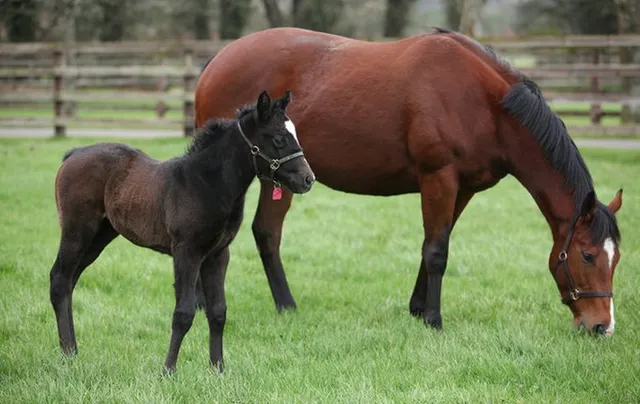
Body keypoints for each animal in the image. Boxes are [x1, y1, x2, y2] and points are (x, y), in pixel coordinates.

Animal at [49, 90, 315, 373]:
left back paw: (72, 349)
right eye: (278, 138)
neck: (205, 183)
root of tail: (73, 154)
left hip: (101, 235)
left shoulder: (218, 254)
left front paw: (217, 368)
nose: (308, 179)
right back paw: (67, 353)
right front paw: (168, 370)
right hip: (77, 230)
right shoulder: (186, 252)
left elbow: (218, 311)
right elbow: (183, 313)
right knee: (60, 278)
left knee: (70, 280)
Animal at [194, 27, 624, 336]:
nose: (601, 326)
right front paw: (434, 319)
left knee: (265, 231)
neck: (484, 103)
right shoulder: (439, 178)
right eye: (587, 255)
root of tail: (216, 63)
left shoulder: (463, 188)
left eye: (615, 257)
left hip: (279, 175)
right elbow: (436, 251)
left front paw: (418, 309)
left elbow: (435, 243)